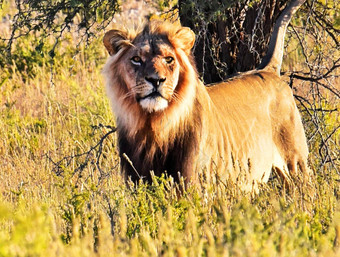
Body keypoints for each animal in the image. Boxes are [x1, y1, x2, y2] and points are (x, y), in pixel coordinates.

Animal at [102, 0, 310, 189]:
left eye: (169, 59)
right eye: (136, 59)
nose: (156, 80)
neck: (154, 126)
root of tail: (267, 70)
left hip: (296, 164)